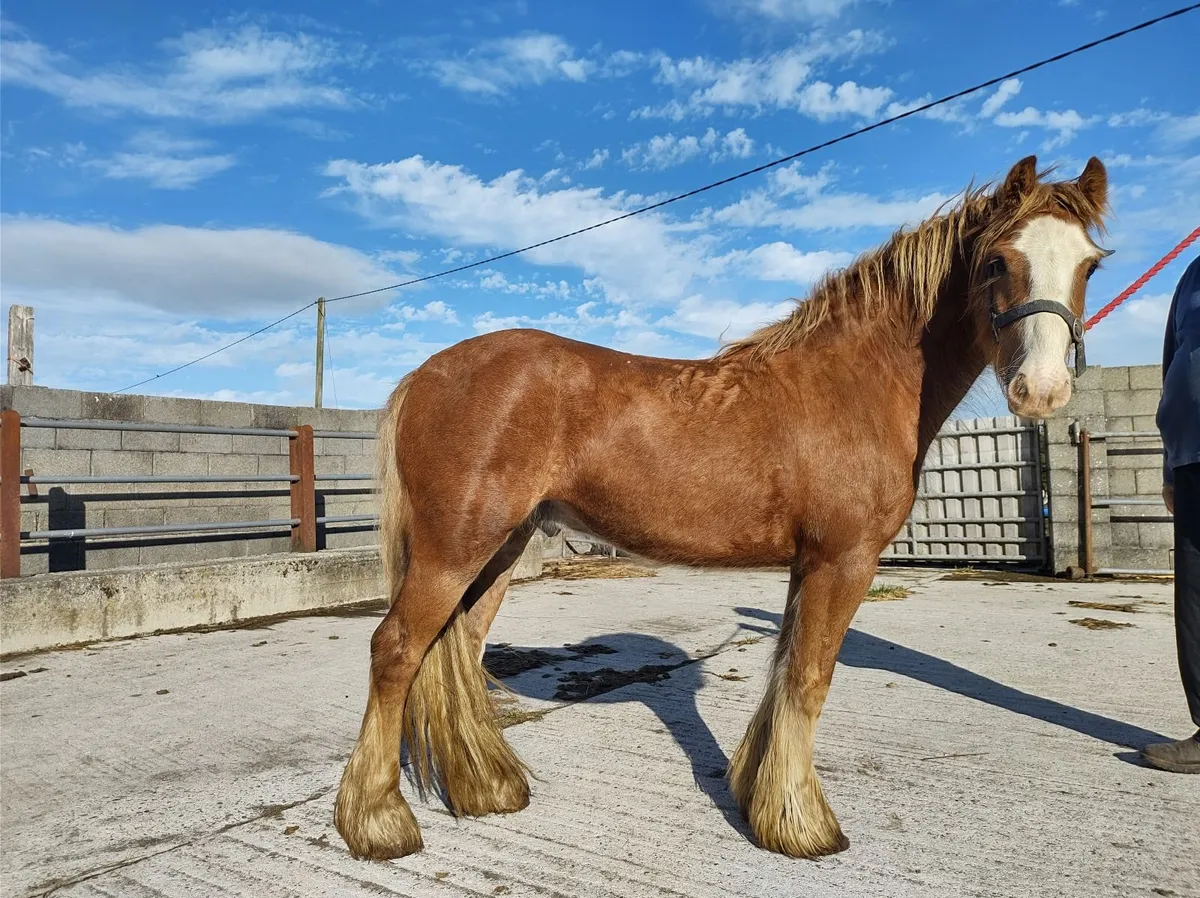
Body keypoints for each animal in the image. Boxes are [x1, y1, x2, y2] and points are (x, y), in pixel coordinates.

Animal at [333, 154, 1112, 861]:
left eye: (1090, 266)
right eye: (997, 262)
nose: (1042, 390)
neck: (854, 383)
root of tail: (424, 373)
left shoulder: (810, 563)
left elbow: (787, 671)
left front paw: (764, 802)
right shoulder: (845, 559)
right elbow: (810, 677)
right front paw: (803, 827)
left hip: (500, 546)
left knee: (456, 648)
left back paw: (485, 790)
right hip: (455, 547)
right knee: (396, 649)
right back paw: (379, 823)